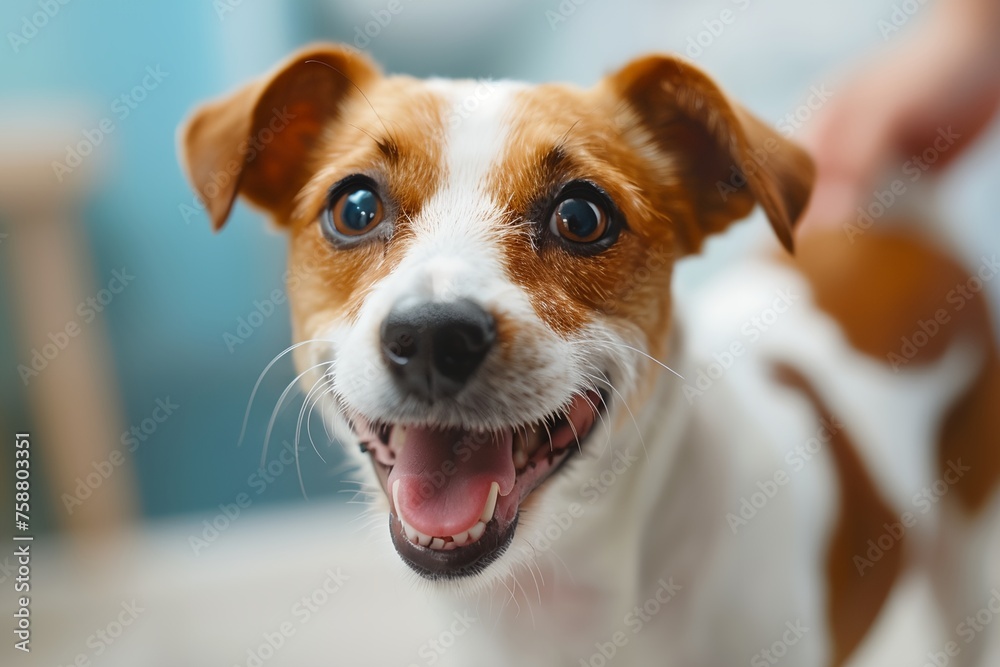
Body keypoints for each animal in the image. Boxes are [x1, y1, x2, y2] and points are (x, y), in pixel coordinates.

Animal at [180, 44, 1000, 664]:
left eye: (581, 216)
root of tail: (902, 231)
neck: (560, 598)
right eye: (354, 207)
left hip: (969, 565)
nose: (435, 336)